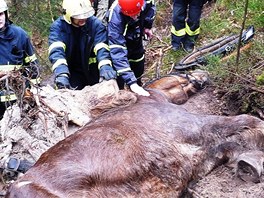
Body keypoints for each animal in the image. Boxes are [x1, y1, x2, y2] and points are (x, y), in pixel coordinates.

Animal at [4, 70, 264, 197]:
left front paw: (250, 165)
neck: (152, 99)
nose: (203, 74)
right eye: (183, 72)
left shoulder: (203, 156)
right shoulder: (196, 126)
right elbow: (248, 121)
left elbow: (233, 146)